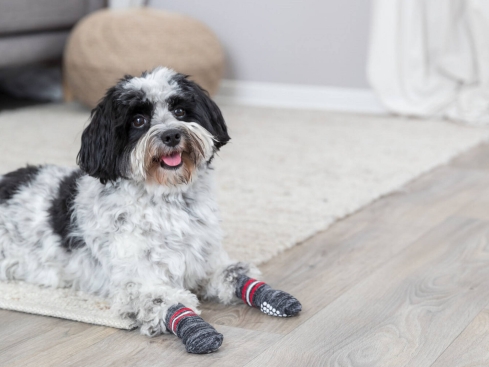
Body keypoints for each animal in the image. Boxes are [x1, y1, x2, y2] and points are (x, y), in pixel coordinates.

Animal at [0, 67, 302, 356]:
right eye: (137, 121)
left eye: (179, 111)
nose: (171, 134)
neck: (168, 200)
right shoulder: (139, 282)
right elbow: (166, 302)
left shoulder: (204, 262)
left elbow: (234, 274)